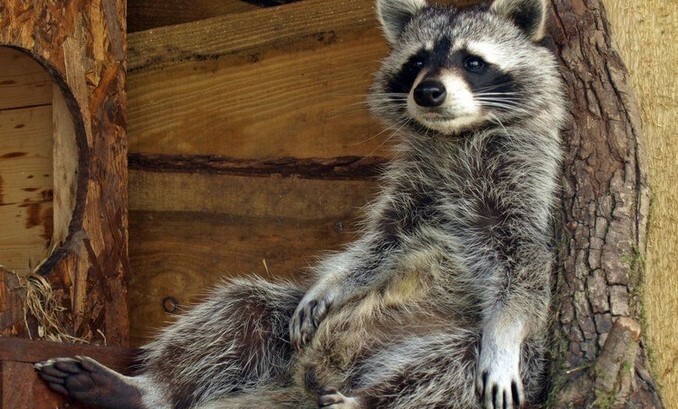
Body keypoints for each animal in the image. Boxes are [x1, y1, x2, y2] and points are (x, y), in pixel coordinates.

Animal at [35, 0, 566, 408]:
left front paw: (502, 338)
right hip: (285, 345)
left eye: (472, 61)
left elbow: (525, 276)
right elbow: (374, 248)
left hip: (469, 350)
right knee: (240, 311)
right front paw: (331, 282)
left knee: (447, 369)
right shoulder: (410, 197)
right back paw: (146, 389)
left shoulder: (520, 199)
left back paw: (367, 400)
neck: (453, 139)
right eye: (416, 63)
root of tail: (310, 384)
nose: (428, 91)